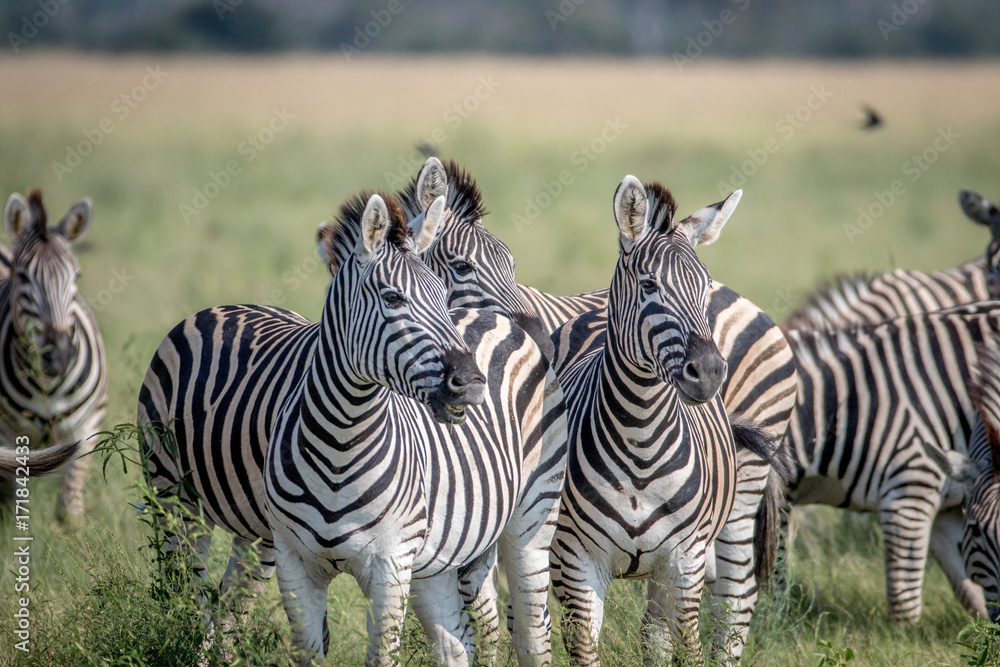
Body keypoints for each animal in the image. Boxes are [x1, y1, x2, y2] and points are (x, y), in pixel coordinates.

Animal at [1, 190, 107, 523]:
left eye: (76, 276)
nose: (59, 356)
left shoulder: (89, 424)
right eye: (23, 277)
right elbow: (13, 499)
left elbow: (69, 509)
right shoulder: (6, 433)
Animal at [139, 190, 566, 665]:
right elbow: (308, 652)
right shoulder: (295, 562)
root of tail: (227, 306)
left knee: (528, 631)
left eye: (442, 294)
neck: (343, 441)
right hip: (174, 499)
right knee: (199, 595)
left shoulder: (391, 565)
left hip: (528, 519)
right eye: (392, 298)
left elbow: (382, 654)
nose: (472, 382)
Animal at [518, 207, 797, 661]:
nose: (710, 372)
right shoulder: (576, 562)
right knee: (655, 630)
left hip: (742, 494)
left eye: (704, 287)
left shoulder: (685, 560)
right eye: (649, 285)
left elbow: (691, 644)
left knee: (733, 601)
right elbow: (585, 646)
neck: (640, 440)